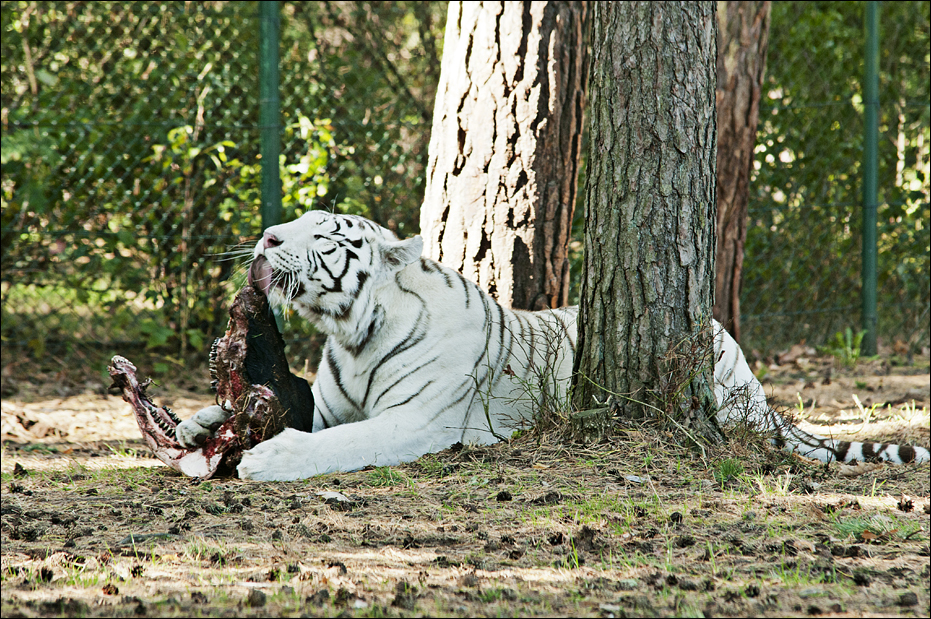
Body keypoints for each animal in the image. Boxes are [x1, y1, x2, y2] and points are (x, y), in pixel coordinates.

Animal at [174, 211, 929, 480]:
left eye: (324, 233)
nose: (268, 235)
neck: (352, 333)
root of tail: (723, 333)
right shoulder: (330, 403)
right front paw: (196, 424)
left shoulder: (417, 420)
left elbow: (343, 441)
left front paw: (270, 457)